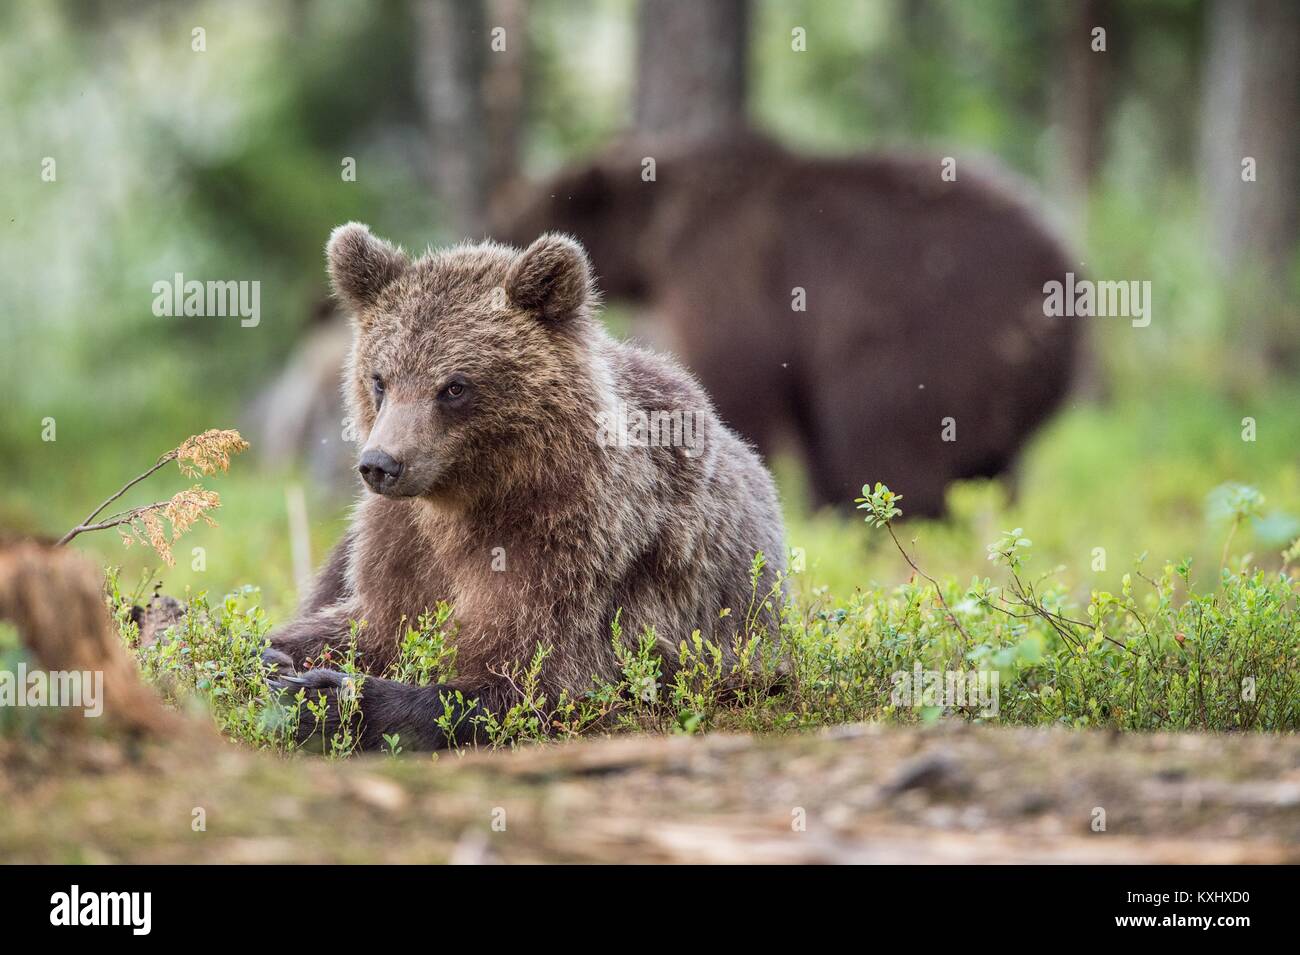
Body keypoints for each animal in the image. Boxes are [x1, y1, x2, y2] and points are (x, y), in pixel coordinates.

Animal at [265, 224, 786, 750]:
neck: (473, 498)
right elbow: (365, 623)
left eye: (454, 386)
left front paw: (326, 697)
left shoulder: (575, 549)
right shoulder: (397, 542)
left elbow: (532, 677)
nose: (380, 464)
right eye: (379, 379)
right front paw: (272, 658)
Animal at [494, 131, 1080, 517]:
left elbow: (735, 374)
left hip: (934, 335)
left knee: (883, 430)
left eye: (531, 208)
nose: (492, 220)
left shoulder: (730, 271)